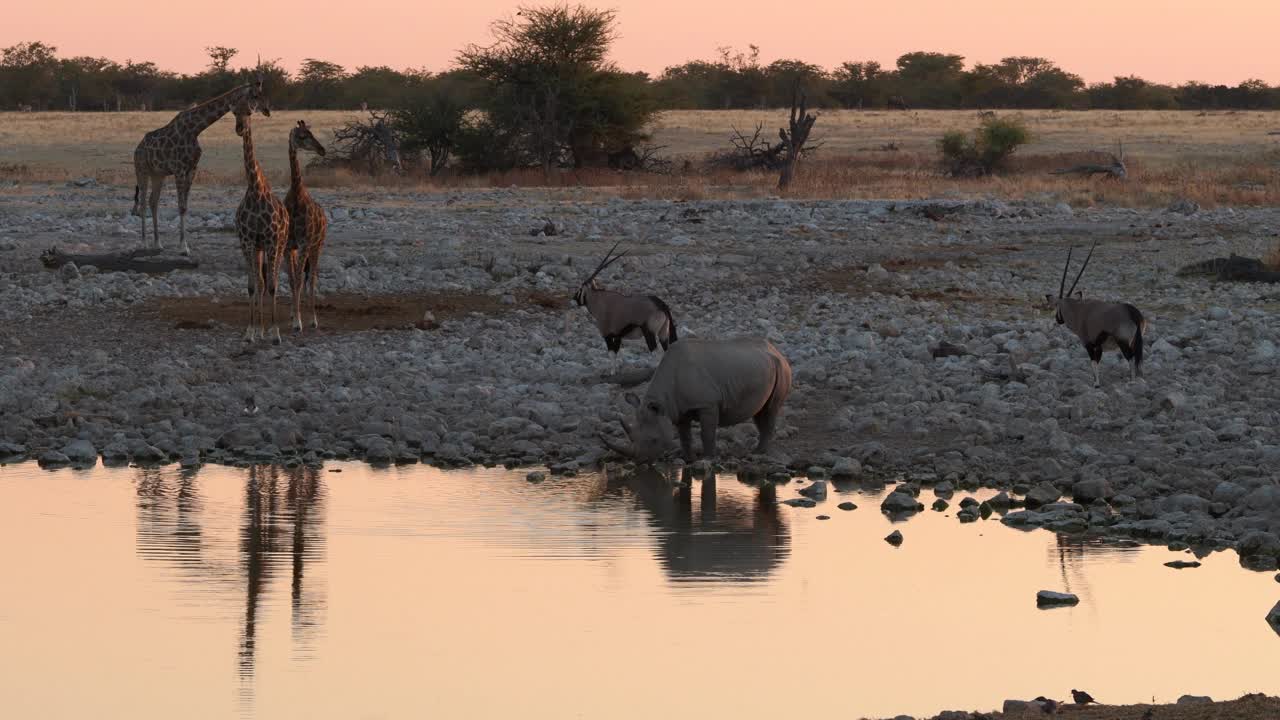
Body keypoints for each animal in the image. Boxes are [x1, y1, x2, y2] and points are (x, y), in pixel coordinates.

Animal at [132, 75, 270, 253]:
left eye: (262, 93)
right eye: (254, 95)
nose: (267, 110)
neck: (195, 129)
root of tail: (137, 148)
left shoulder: (192, 169)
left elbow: (185, 207)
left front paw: (184, 245)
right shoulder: (179, 169)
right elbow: (180, 206)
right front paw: (183, 247)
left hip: (158, 174)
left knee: (153, 201)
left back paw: (158, 243)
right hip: (141, 170)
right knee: (142, 203)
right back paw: (144, 243)